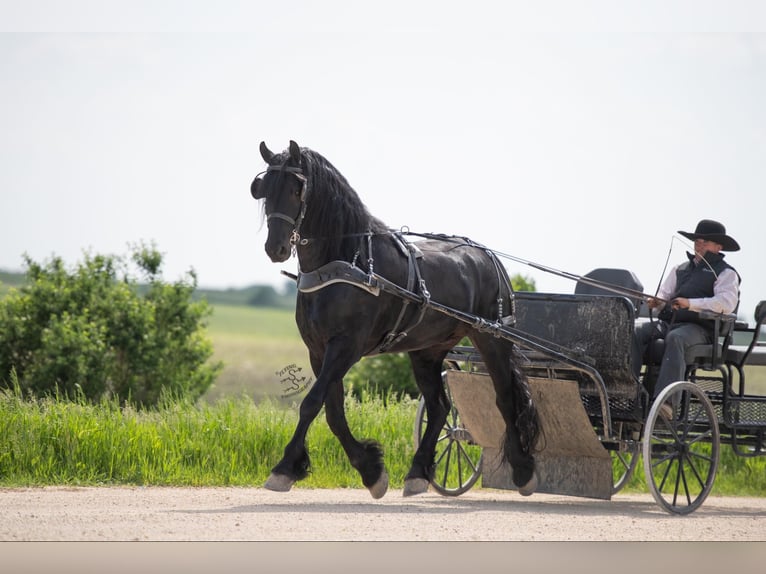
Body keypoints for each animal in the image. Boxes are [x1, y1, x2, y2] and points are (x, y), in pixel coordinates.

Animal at [252, 143, 540, 500]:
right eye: (264, 190)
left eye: (296, 189)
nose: (275, 248)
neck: (346, 262)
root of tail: (488, 256)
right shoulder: (319, 351)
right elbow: (333, 412)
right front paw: (370, 470)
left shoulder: (346, 347)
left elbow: (311, 403)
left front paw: (284, 467)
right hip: (427, 351)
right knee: (440, 407)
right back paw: (418, 472)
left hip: (492, 339)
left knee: (505, 398)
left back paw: (523, 470)